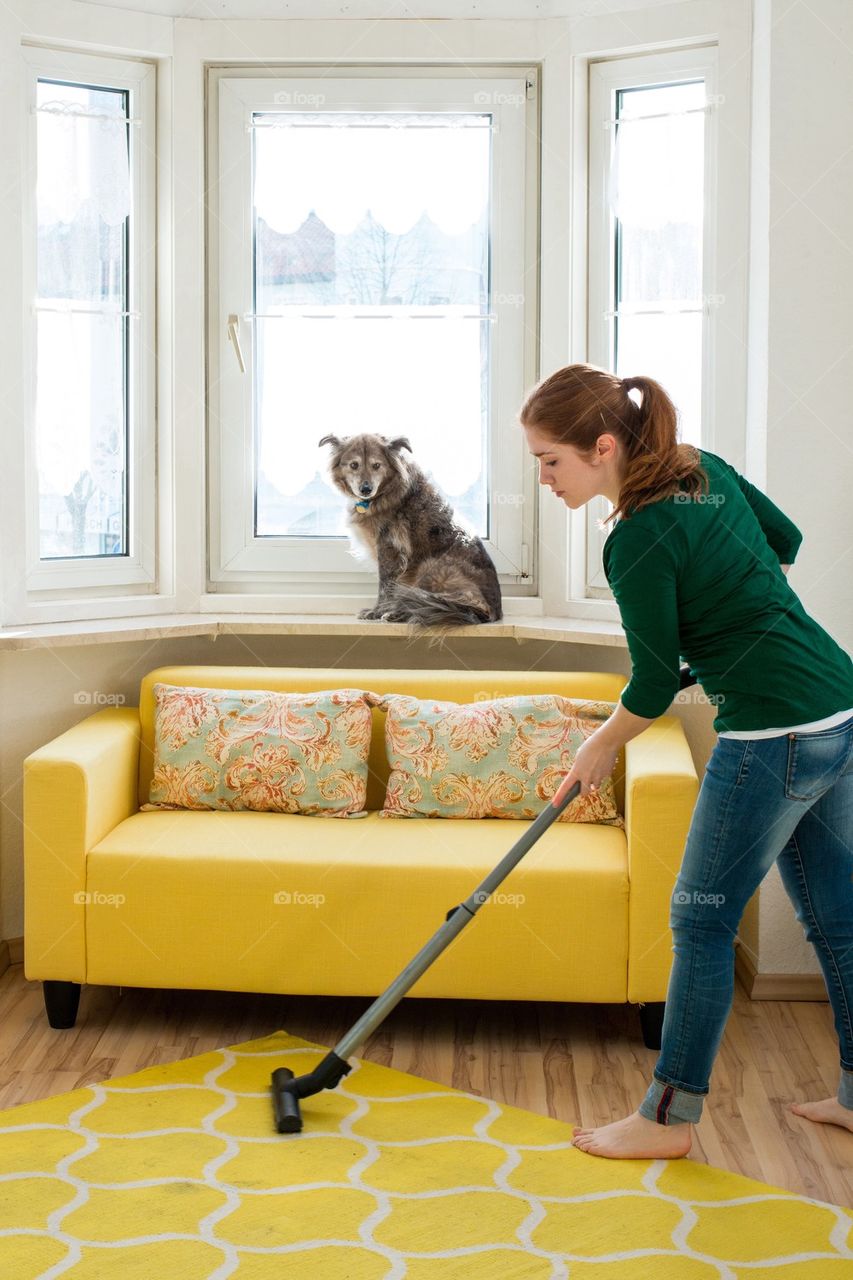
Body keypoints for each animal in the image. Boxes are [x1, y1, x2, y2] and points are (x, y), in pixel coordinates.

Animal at [322, 430, 502, 629]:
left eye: (377, 465)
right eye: (354, 465)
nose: (366, 489)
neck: (387, 490)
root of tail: (493, 612)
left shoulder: (390, 549)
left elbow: (385, 586)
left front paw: (377, 611)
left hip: (429, 567)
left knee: (433, 605)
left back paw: (398, 614)